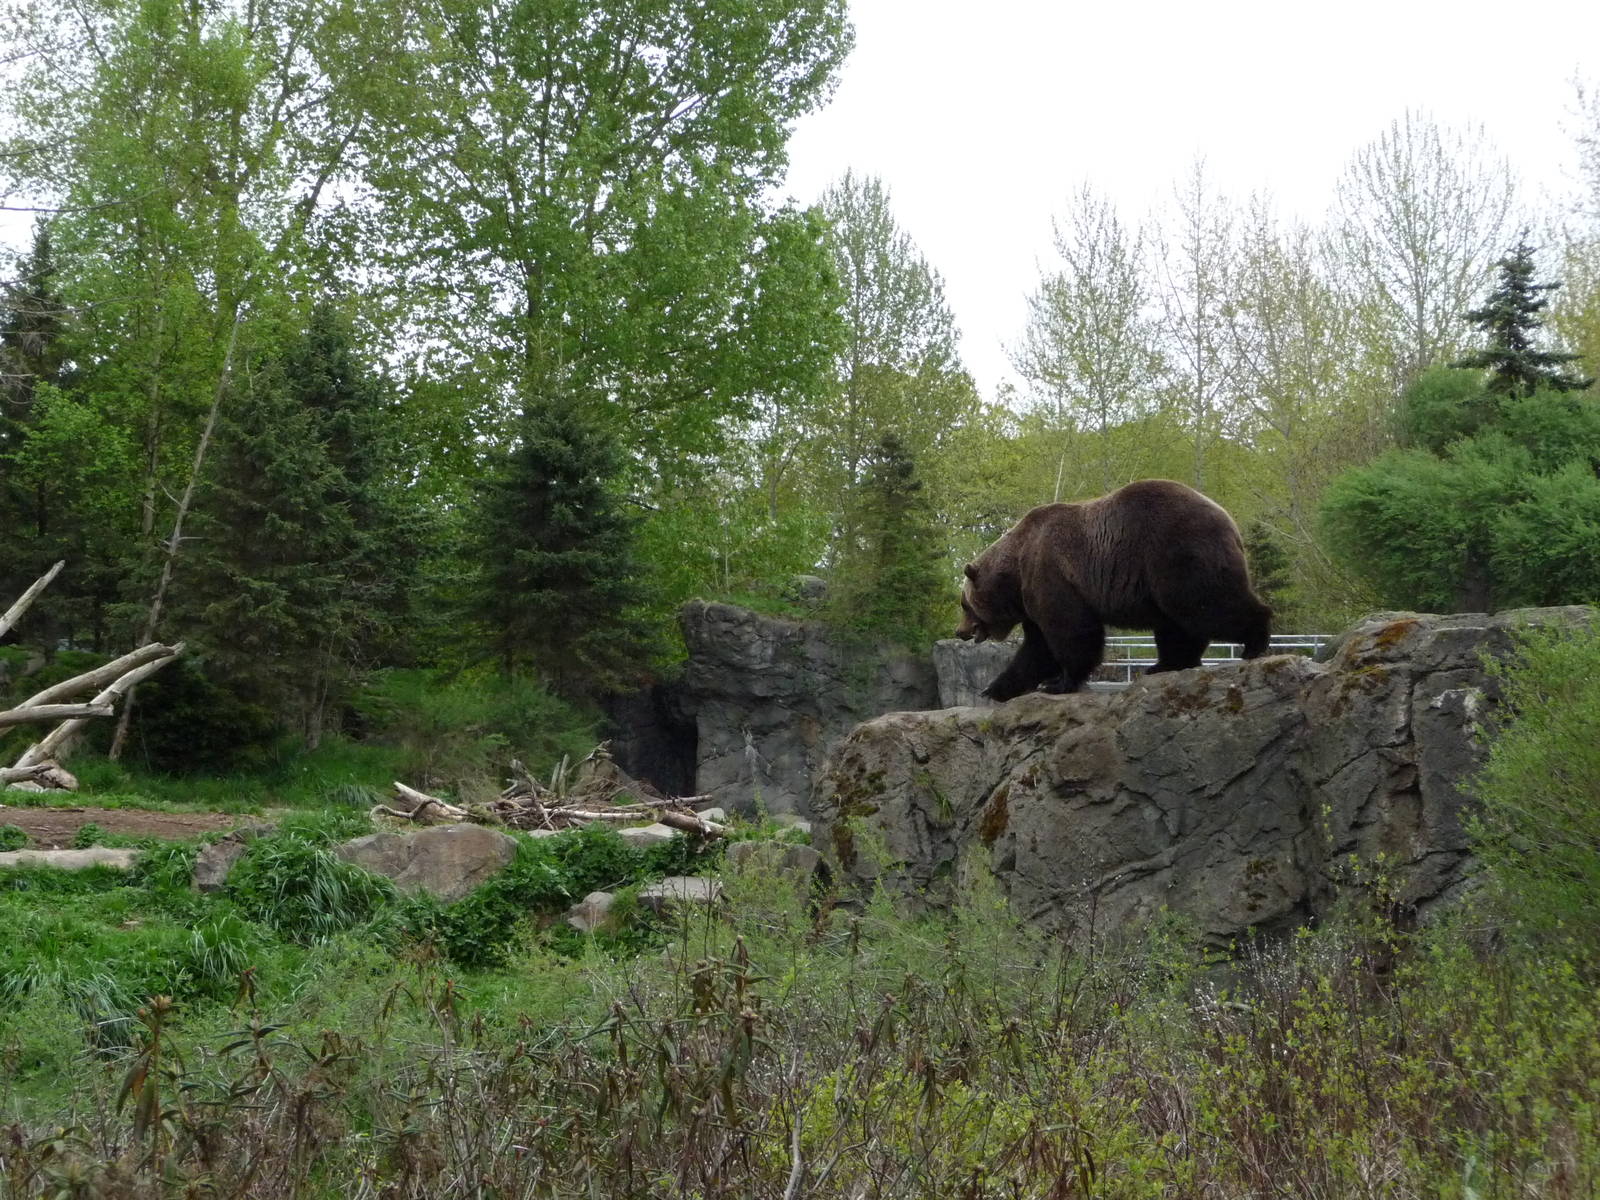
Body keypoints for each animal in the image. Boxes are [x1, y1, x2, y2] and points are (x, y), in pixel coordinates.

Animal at [955, 480, 1272, 702]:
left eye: (964, 605)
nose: (959, 631)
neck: (1014, 574)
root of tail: (1228, 520)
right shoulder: (1033, 600)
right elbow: (1036, 648)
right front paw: (994, 688)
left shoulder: (1051, 575)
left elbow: (1071, 632)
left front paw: (1058, 683)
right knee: (1176, 624)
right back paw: (1164, 665)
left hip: (1177, 551)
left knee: (1207, 603)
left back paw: (1254, 643)